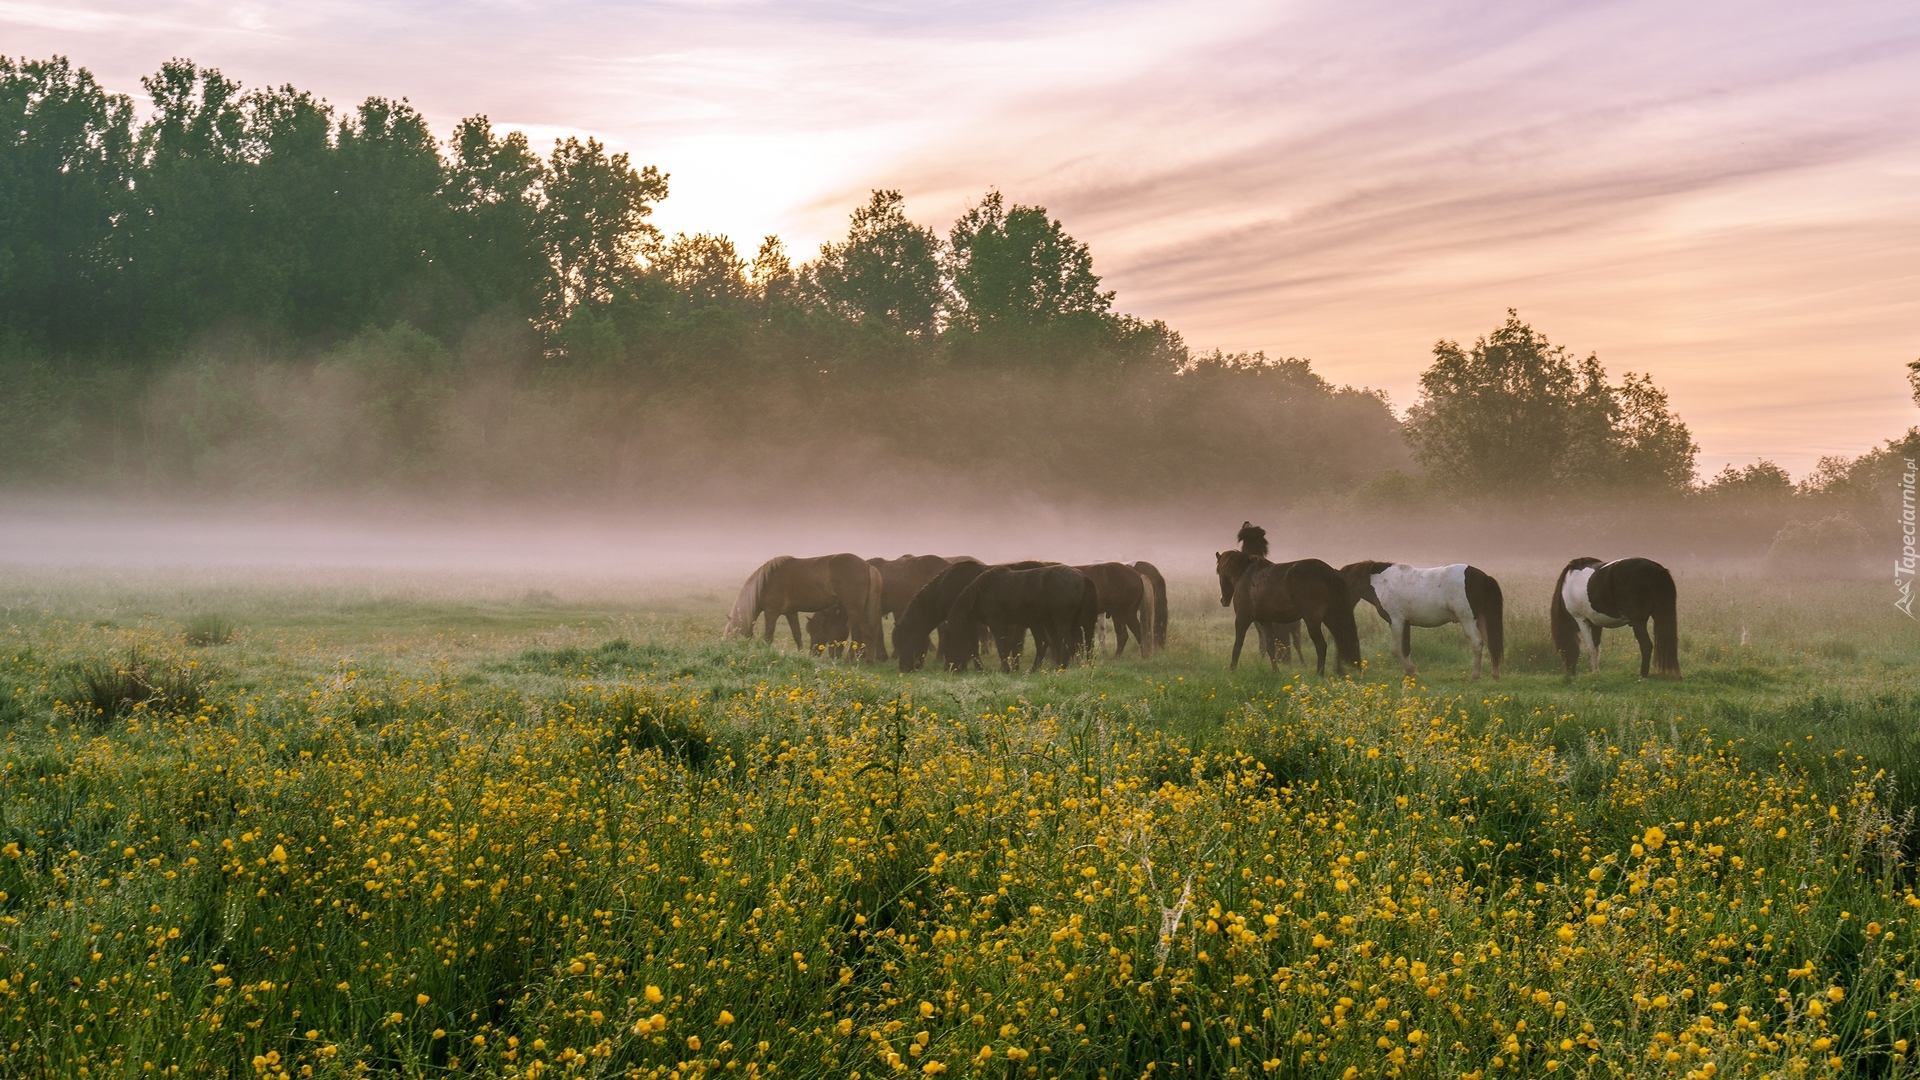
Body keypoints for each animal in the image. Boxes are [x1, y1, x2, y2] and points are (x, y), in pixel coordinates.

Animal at [725, 549, 883, 661]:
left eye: (732, 637)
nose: (731, 653)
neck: (765, 582)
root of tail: (868, 566)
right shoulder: (790, 612)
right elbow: (797, 635)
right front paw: (801, 655)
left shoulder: (771, 613)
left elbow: (768, 637)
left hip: (854, 609)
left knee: (859, 633)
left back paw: (852, 660)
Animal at [936, 557, 1090, 668]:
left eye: (950, 645)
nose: (949, 669)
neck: (982, 592)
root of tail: (1082, 577)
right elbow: (1009, 645)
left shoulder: (997, 623)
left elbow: (1002, 646)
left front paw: (1005, 670)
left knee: (1064, 643)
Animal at [1344, 557, 1505, 676]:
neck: (1383, 582)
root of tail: (1484, 577)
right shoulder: (1406, 623)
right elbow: (1405, 649)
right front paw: (1409, 673)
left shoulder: (1396, 622)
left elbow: (1396, 650)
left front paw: (1412, 671)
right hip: (1482, 619)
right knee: (1491, 643)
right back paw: (1495, 674)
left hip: (1468, 620)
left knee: (1477, 643)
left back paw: (1475, 676)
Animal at [1543, 553, 1681, 672]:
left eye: (1563, 650)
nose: (1571, 674)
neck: (1569, 583)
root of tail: (1657, 569)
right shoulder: (1596, 623)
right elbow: (1596, 648)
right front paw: (1597, 672)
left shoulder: (1581, 620)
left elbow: (1590, 649)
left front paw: (1595, 673)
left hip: (1638, 622)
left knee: (1646, 645)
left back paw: (1643, 675)